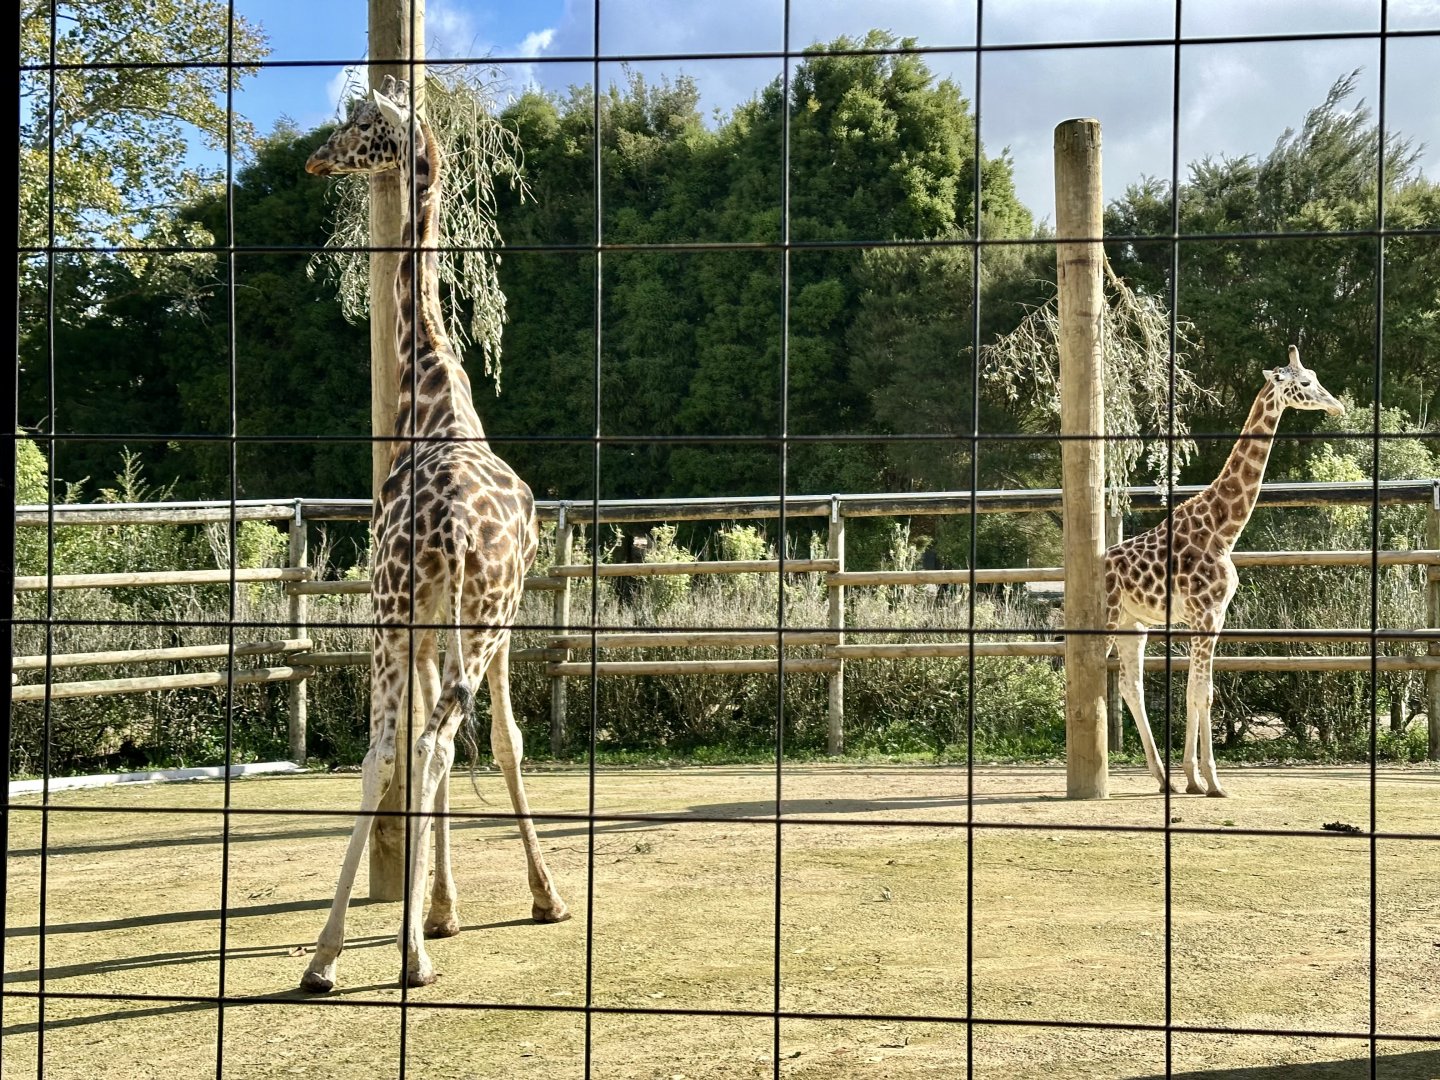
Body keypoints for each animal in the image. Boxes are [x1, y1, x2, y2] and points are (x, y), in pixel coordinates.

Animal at [299, 76, 568, 992]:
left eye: (360, 125)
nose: (314, 157)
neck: (435, 400)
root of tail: (448, 523)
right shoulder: (497, 619)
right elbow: (505, 742)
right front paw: (525, 899)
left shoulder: (426, 622)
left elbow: (465, 747)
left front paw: (443, 907)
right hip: (467, 617)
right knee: (433, 742)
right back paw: (407, 953)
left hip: (392, 614)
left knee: (387, 748)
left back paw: (326, 956)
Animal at [1106, 346, 1344, 797]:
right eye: (1304, 383)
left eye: (1318, 376)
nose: (1337, 405)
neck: (1224, 529)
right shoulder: (1207, 614)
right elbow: (1203, 693)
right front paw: (1212, 781)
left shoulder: (1207, 618)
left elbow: (1196, 691)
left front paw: (1192, 779)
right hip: (1107, 619)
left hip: (1133, 625)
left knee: (1130, 685)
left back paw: (1161, 777)